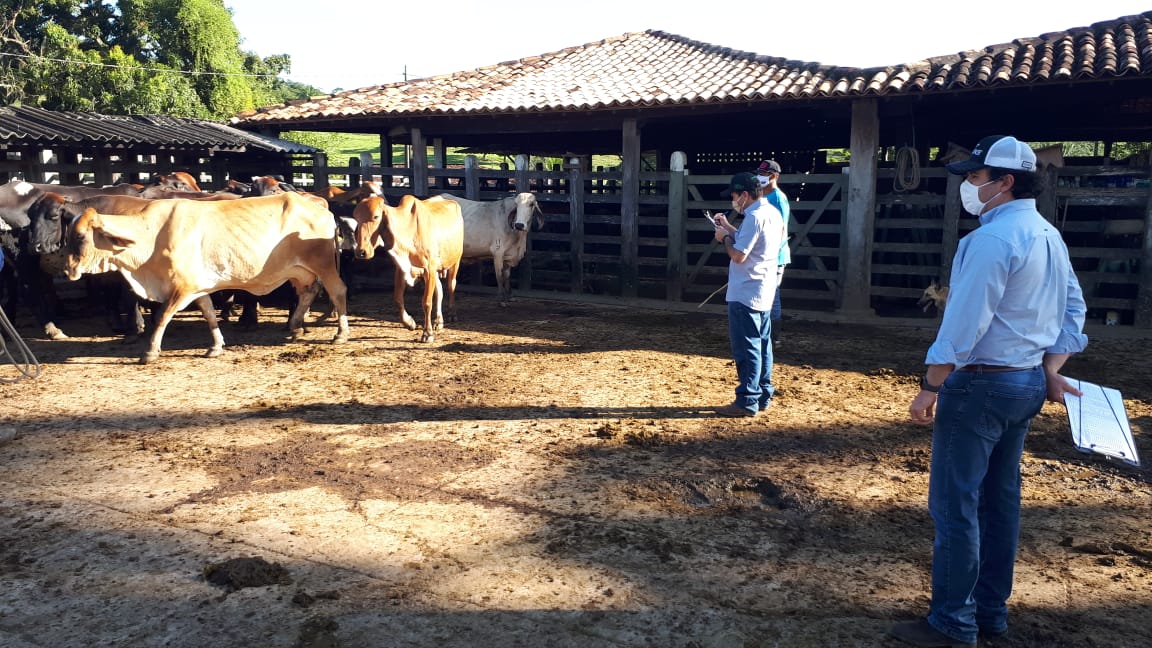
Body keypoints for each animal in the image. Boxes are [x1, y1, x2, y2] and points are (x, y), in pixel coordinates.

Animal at [63, 191, 347, 364]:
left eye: (80, 236)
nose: (66, 269)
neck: (152, 235)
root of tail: (323, 210)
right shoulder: (198, 288)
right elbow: (209, 314)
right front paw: (216, 346)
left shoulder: (182, 287)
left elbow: (162, 317)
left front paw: (150, 352)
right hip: (299, 271)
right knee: (308, 292)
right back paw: (296, 325)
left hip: (323, 265)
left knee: (337, 291)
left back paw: (340, 334)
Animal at [352, 193, 460, 341]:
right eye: (356, 218)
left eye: (376, 217)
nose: (361, 252)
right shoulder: (402, 269)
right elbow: (398, 299)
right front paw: (409, 323)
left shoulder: (429, 269)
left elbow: (426, 302)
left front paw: (427, 333)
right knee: (439, 290)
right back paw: (438, 321)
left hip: (455, 262)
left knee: (451, 286)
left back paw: (451, 314)